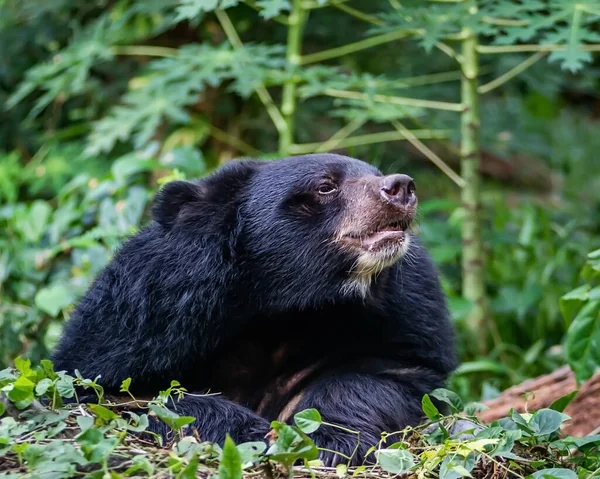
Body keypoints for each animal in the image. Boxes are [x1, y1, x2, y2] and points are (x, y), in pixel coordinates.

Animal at [51, 155, 458, 468]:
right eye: (325, 186)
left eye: (375, 172)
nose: (401, 187)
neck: (288, 305)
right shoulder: (143, 317)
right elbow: (121, 394)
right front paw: (253, 433)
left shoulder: (405, 317)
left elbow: (384, 375)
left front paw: (333, 441)